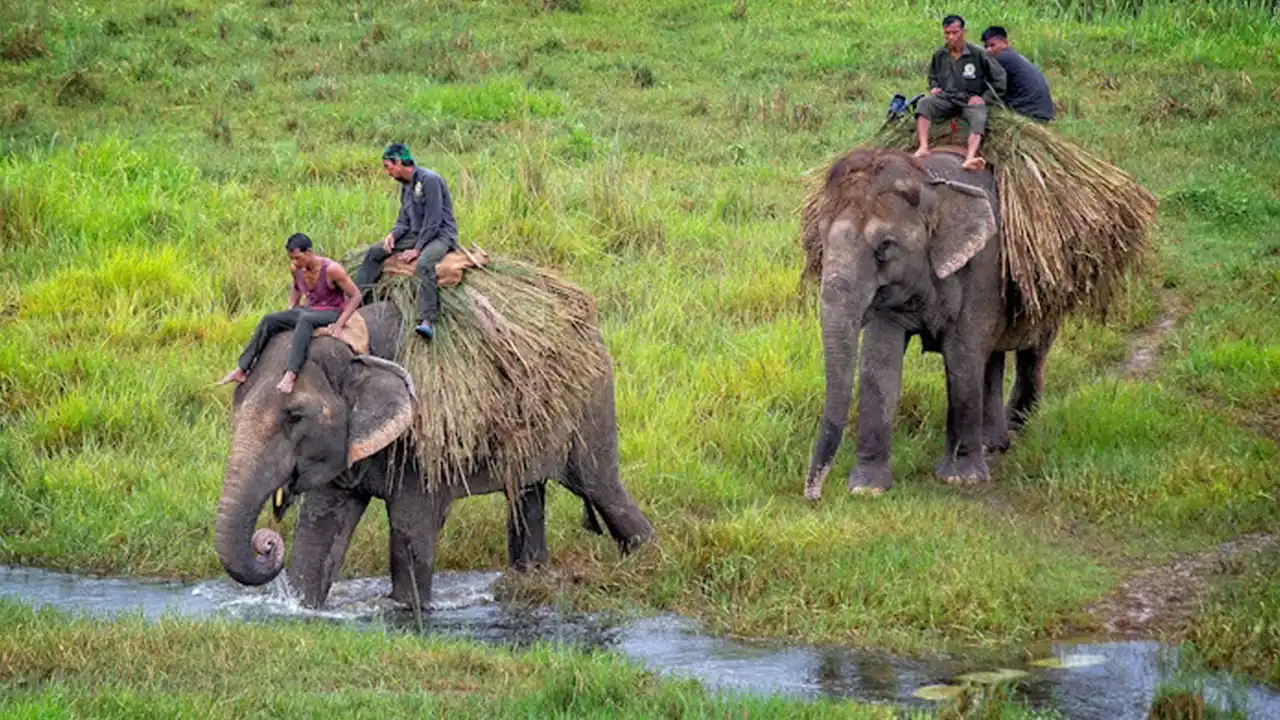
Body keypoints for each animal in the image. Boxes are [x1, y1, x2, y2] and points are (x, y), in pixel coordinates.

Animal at [215, 300, 654, 609]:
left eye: (295, 416)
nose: (266, 542)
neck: (357, 346)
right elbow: (320, 530)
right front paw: (304, 608)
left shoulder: (422, 432)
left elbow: (411, 528)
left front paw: (407, 610)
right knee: (527, 496)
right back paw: (527, 582)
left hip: (591, 400)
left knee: (601, 487)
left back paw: (648, 560)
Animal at [803, 148, 1058, 499]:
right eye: (821, 240)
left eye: (885, 247)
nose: (813, 494)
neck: (929, 181)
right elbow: (878, 364)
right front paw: (867, 489)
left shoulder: (983, 266)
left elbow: (962, 358)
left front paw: (960, 480)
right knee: (991, 358)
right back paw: (992, 445)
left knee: (1031, 350)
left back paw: (1014, 433)